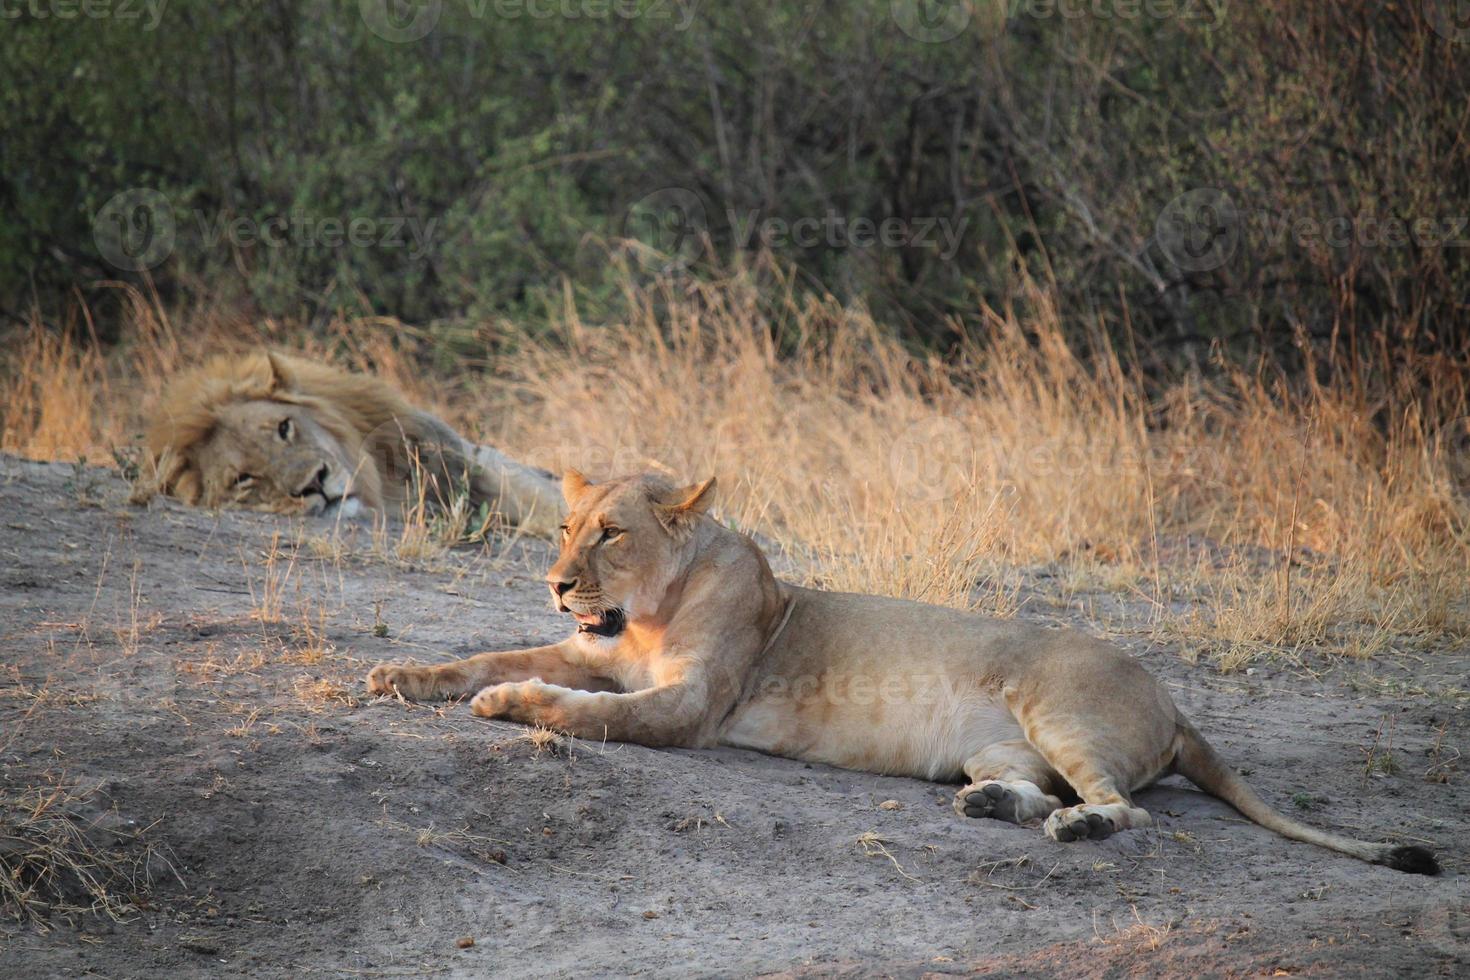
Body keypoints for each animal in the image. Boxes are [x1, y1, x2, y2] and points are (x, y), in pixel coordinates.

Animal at [364, 470, 1434, 875]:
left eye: (612, 533)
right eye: (564, 527)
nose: (554, 582)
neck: (646, 615)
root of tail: (1174, 702)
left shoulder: (689, 708)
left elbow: (585, 711)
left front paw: (508, 704)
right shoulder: (590, 650)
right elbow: (487, 653)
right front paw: (404, 676)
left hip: (1060, 708)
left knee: (1125, 808)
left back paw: (1075, 828)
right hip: (998, 748)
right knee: (1031, 785)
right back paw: (992, 807)